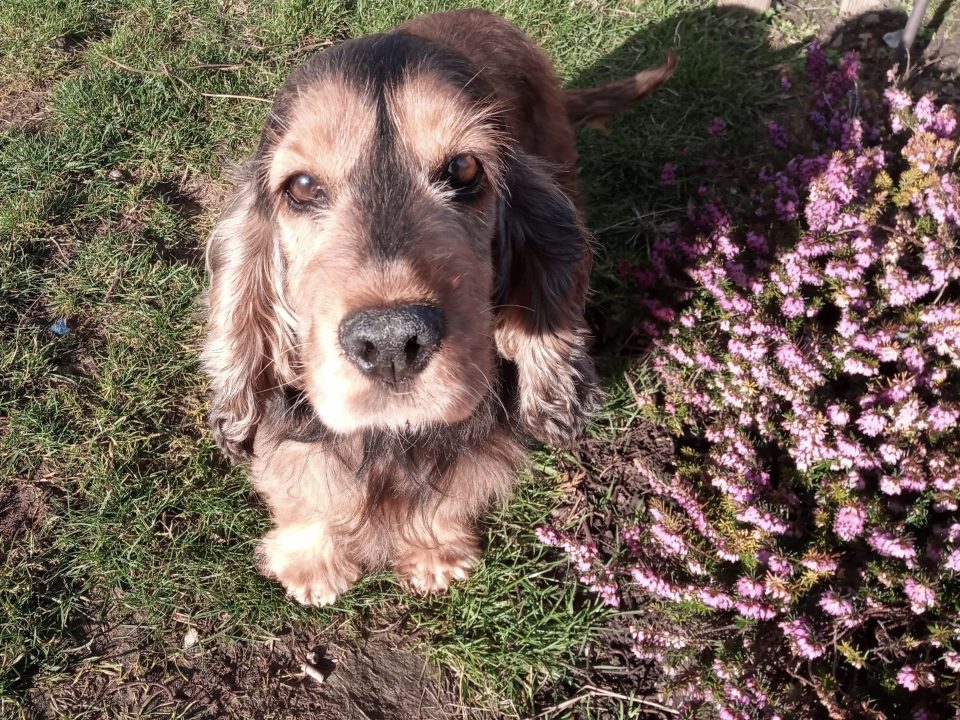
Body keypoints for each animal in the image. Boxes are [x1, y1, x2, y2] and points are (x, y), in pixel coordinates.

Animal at [202, 9, 676, 608]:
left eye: (466, 169)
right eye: (303, 186)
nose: (389, 342)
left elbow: (453, 493)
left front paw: (435, 555)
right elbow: (300, 484)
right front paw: (313, 562)